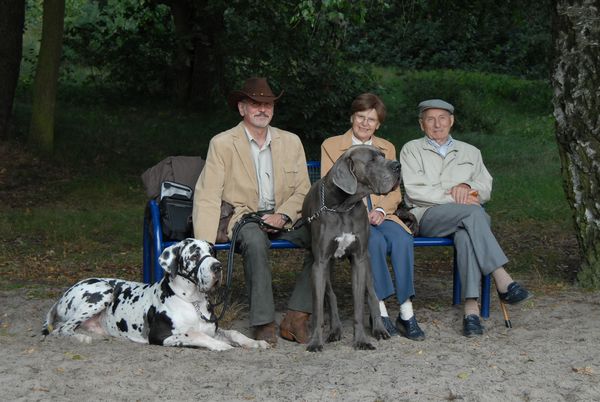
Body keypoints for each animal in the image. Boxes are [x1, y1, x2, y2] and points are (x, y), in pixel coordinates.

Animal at [42, 238, 269, 351]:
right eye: (195, 255)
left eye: (212, 252)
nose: (218, 266)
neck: (192, 301)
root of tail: (63, 295)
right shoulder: (160, 336)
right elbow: (194, 334)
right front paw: (220, 345)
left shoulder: (212, 328)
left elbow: (234, 332)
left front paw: (254, 342)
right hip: (103, 291)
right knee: (62, 328)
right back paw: (81, 338)